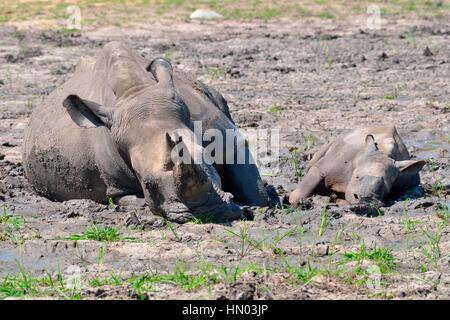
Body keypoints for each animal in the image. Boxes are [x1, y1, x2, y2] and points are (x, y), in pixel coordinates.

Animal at [22, 41, 268, 221]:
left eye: (208, 161)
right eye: (147, 183)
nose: (207, 213)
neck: (135, 91)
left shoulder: (226, 139)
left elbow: (253, 187)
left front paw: (258, 207)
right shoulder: (116, 185)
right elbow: (130, 200)